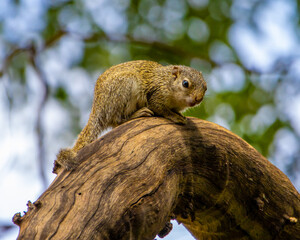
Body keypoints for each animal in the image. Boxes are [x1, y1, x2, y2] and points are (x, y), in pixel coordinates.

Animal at [54, 60, 207, 172]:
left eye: (205, 87)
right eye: (185, 83)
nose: (198, 99)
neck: (167, 82)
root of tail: (98, 108)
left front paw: (180, 114)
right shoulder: (156, 96)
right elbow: (161, 109)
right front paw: (176, 117)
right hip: (124, 87)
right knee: (116, 121)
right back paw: (138, 114)